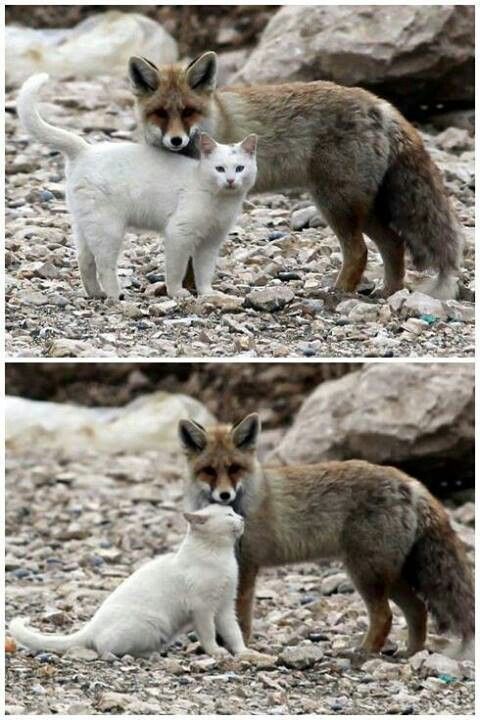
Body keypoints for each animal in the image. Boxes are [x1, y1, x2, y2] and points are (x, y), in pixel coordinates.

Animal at [9, 504, 251, 660]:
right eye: (229, 514)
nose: (242, 518)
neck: (221, 556)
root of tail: (92, 625)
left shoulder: (225, 607)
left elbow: (234, 633)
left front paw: (244, 653)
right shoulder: (202, 609)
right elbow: (209, 635)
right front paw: (216, 652)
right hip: (150, 625)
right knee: (106, 649)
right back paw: (151, 655)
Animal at [16, 77, 256, 302]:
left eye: (240, 168)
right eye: (220, 168)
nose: (231, 180)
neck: (221, 201)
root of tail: (85, 150)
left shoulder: (211, 243)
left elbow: (204, 272)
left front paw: (208, 294)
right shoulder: (179, 234)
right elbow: (176, 270)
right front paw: (177, 293)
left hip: (85, 226)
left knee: (84, 261)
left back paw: (96, 294)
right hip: (108, 229)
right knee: (104, 265)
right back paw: (116, 296)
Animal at [126, 52, 462, 296]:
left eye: (188, 112)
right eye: (160, 113)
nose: (176, 140)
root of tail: (379, 103)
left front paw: (188, 290)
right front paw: (184, 288)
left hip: (335, 204)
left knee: (359, 252)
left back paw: (337, 294)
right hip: (363, 210)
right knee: (393, 245)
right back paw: (389, 293)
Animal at [178, 410, 474, 660]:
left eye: (234, 468)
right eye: (209, 471)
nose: (224, 495)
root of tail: (410, 481)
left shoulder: (248, 566)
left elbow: (240, 618)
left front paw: (239, 647)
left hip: (365, 573)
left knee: (385, 616)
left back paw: (363, 653)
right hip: (388, 575)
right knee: (418, 610)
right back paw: (410, 653)